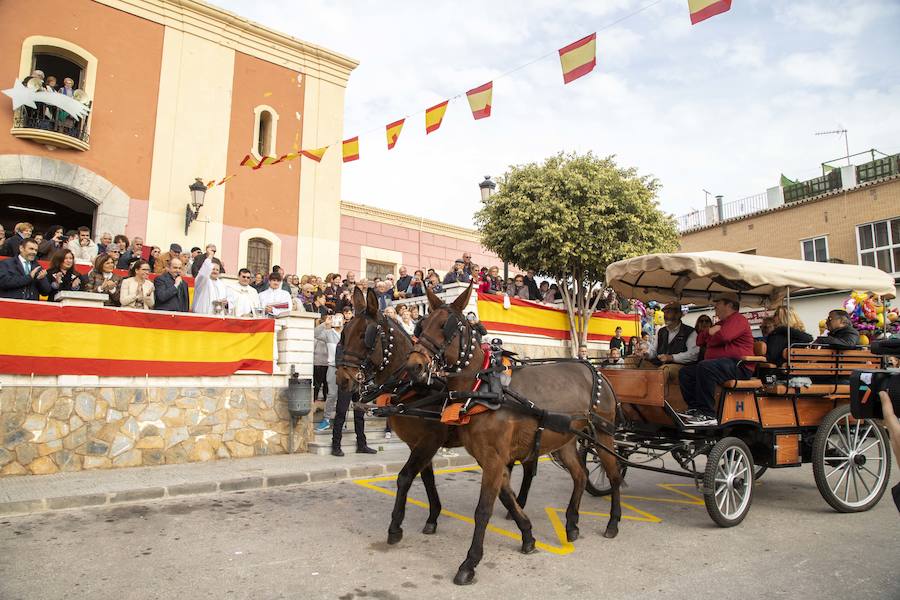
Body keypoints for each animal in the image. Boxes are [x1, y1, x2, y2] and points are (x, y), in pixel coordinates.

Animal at [334, 288, 536, 548]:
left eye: (364, 336)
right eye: (344, 334)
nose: (342, 379)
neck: (414, 386)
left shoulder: (430, 440)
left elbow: (405, 477)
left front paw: (395, 527)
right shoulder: (418, 443)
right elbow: (427, 477)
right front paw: (433, 517)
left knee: (529, 468)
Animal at [406, 284, 624, 584]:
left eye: (445, 326)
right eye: (422, 324)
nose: (414, 365)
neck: (483, 388)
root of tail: (596, 369)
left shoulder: (495, 458)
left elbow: (484, 509)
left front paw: (470, 562)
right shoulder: (489, 459)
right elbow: (507, 497)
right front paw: (528, 536)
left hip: (603, 434)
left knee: (613, 474)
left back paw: (613, 522)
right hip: (564, 438)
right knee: (580, 475)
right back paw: (571, 522)